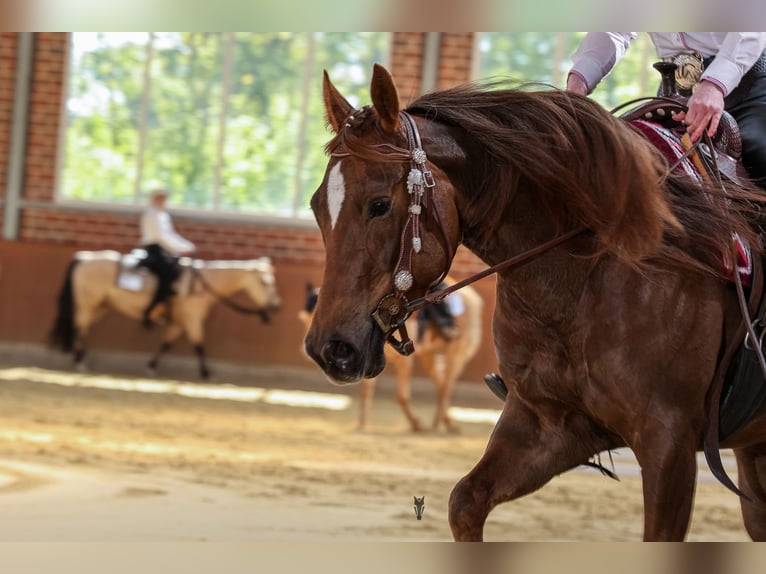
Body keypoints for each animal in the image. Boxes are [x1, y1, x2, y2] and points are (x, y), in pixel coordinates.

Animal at [49, 250, 282, 379]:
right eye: (264, 282)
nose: (276, 306)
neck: (200, 285)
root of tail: (83, 257)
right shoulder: (192, 319)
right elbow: (199, 344)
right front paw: (206, 374)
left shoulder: (179, 323)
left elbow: (167, 343)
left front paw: (151, 367)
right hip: (88, 304)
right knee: (80, 327)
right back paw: (79, 361)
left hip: (99, 306)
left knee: (82, 327)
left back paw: (80, 358)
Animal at [300, 276, 483, 431]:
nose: (316, 352)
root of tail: (474, 298)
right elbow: (366, 392)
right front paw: (362, 425)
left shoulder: (404, 361)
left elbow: (401, 396)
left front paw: (416, 424)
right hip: (428, 356)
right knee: (441, 383)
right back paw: (444, 422)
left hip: (457, 355)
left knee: (447, 386)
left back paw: (440, 424)